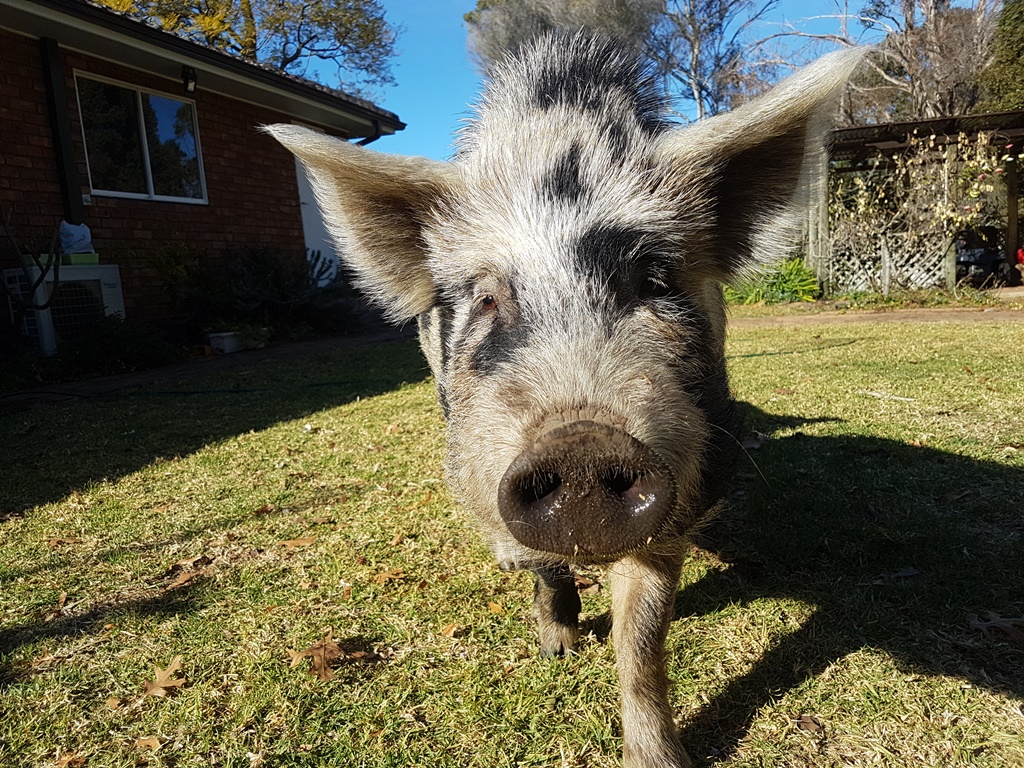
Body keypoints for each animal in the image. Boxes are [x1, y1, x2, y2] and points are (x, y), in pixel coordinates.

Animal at [266, 31, 861, 768]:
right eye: (488, 299)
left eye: (652, 280)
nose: (581, 444)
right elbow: (545, 565)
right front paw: (558, 648)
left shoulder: (682, 491)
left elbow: (643, 638)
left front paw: (659, 757)